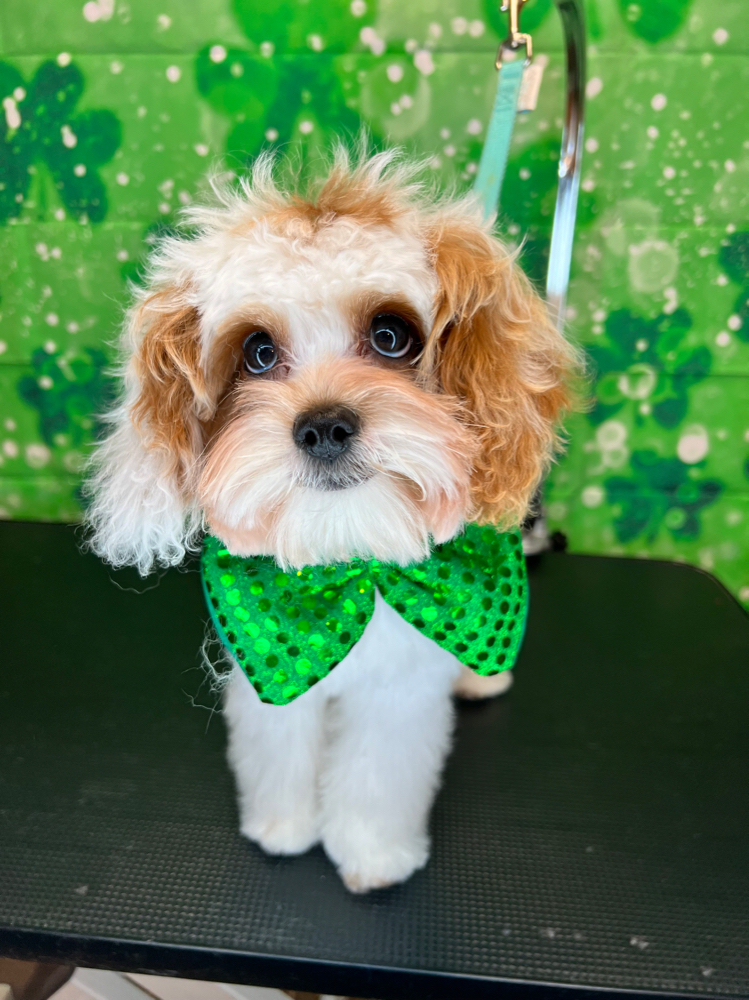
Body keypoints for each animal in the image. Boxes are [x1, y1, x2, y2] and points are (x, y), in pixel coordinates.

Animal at [87, 146, 576, 892]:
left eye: (391, 335)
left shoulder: (397, 694)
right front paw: (283, 826)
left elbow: (376, 779)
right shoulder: (268, 667)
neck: (349, 559)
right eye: (258, 351)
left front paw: (373, 856)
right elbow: (280, 753)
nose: (321, 426)